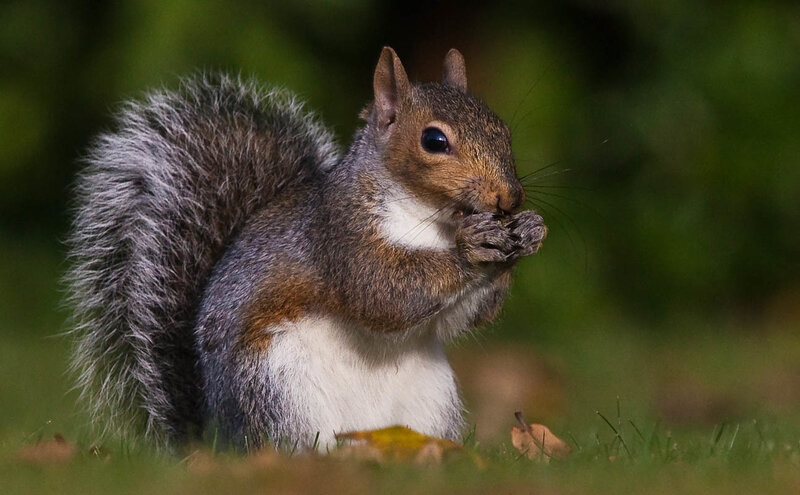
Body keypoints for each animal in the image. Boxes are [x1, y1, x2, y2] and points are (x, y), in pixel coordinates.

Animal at [67, 47, 547, 450]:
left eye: (502, 130)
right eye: (434, 141)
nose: (510, 198)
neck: (433, 221)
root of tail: (217, 440)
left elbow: (463, 317)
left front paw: (529, 231)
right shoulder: (338, 234)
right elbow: (384, 292)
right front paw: (473, 247)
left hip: (430, 401)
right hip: (279, 389)